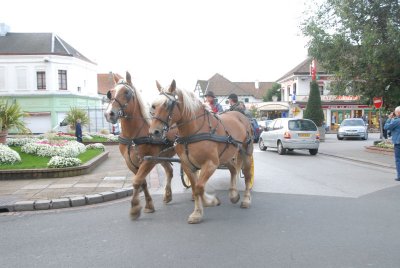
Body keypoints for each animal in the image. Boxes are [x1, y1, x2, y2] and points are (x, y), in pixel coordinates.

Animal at [104, 72, 177, 219]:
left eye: (126, 92)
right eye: (111, 92)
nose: (109, 114)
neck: (132, 138)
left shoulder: (149, 161)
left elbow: (137, 181)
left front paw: (135, 208)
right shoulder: (131, 163)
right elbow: (142, 182)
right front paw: (148, 205)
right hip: (163, 157)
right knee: (170, 171)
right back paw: (167, 196)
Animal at [148, 80, 255, 224]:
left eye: (168, 104)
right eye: (154, 105)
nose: (154, 132)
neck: (194, 132)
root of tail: (240, 115)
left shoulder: (211, 164)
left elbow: (199, 187)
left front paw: (210, 202)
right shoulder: (188, 165)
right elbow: (195, 188)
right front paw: (198, 212)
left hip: (246, 153)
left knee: (248, 175)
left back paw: (246, 200)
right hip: (225, 156)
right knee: (233, 170)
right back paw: (233, 195)